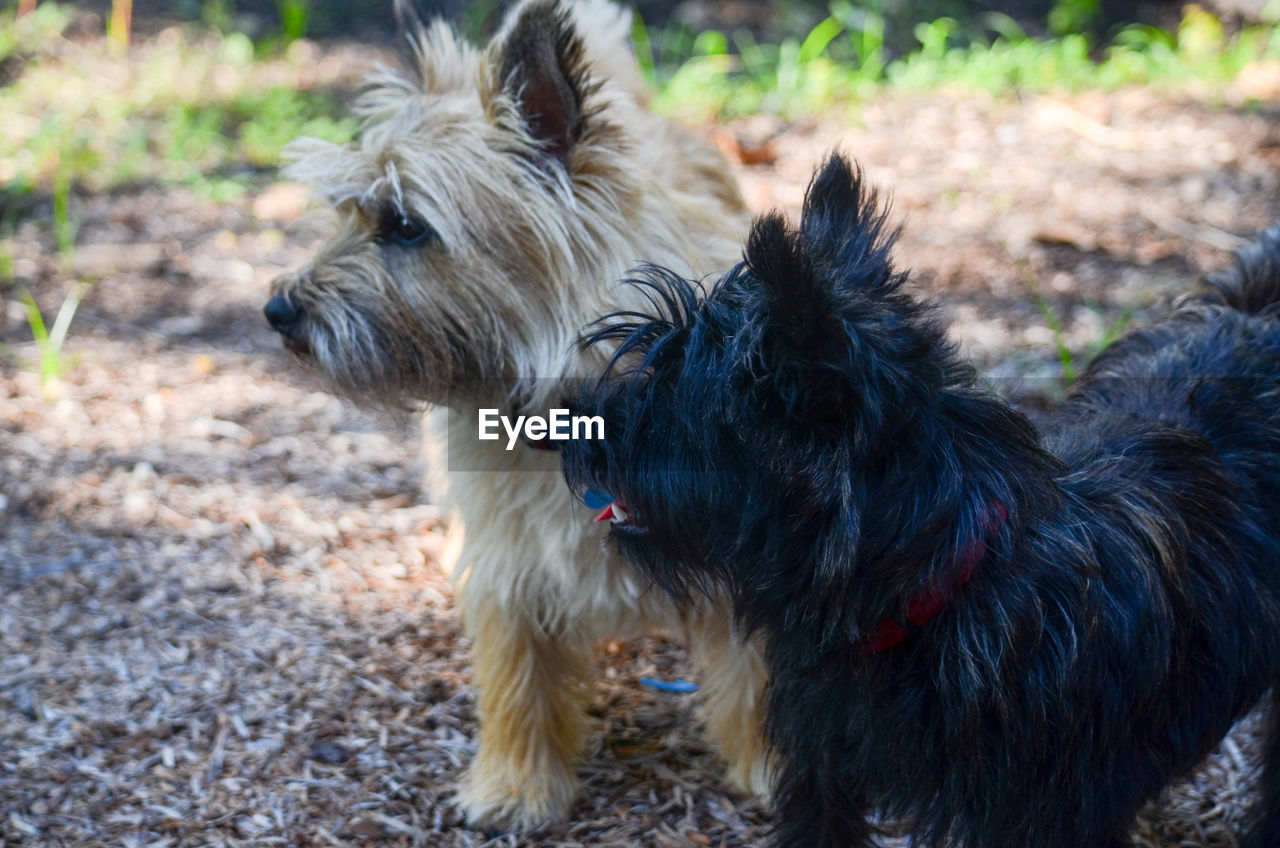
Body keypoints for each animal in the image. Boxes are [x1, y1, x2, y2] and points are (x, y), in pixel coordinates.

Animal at [267, 0, 768, 830]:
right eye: (346, 213)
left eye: (407, 226)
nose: (277, 311)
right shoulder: (509, 565)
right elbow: (517, 677)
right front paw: (516, 786)